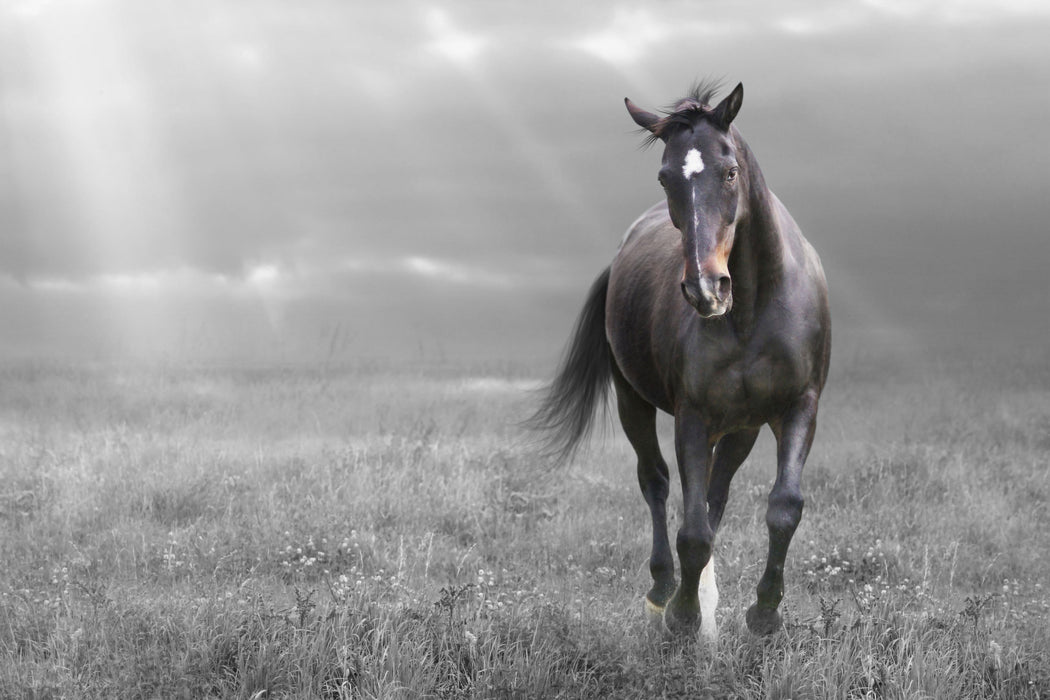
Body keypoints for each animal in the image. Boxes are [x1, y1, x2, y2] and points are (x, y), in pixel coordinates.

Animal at [533, 82, 827, 642]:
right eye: (665, 176)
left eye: (729, 171)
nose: (706, 288)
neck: (752, 311)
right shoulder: (692, 415)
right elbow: (691, 530)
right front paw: (685, 617)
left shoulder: (799, 406)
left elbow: (783, 508)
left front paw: (764, 614)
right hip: (634, 402)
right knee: (656, 483)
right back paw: (663, 591)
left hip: (741, 427)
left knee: (715, 495)